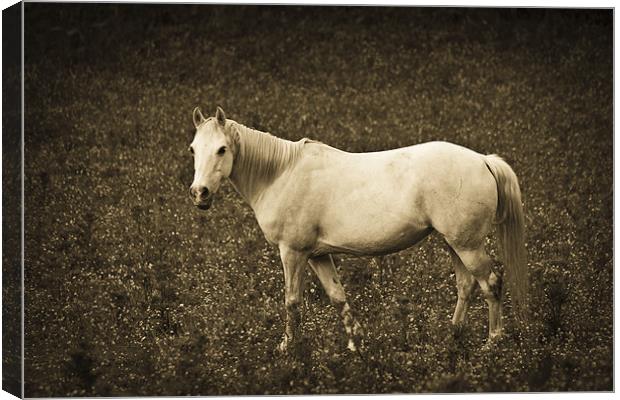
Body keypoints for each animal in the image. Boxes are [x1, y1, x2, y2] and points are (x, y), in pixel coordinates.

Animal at [189, 106, 528, 354]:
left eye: (222, 149)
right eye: (193, 149)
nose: (199, 193)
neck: (280, 173)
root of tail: (483, 160)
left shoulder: (293, 252)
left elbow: (291, 300)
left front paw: (288, 348)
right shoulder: (317, 255)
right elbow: (338, 296)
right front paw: (356, 344)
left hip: (467, 245)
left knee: (490, 284)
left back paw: (492, 342)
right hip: (454, 243)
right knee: (466, 286)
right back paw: (453, 335)